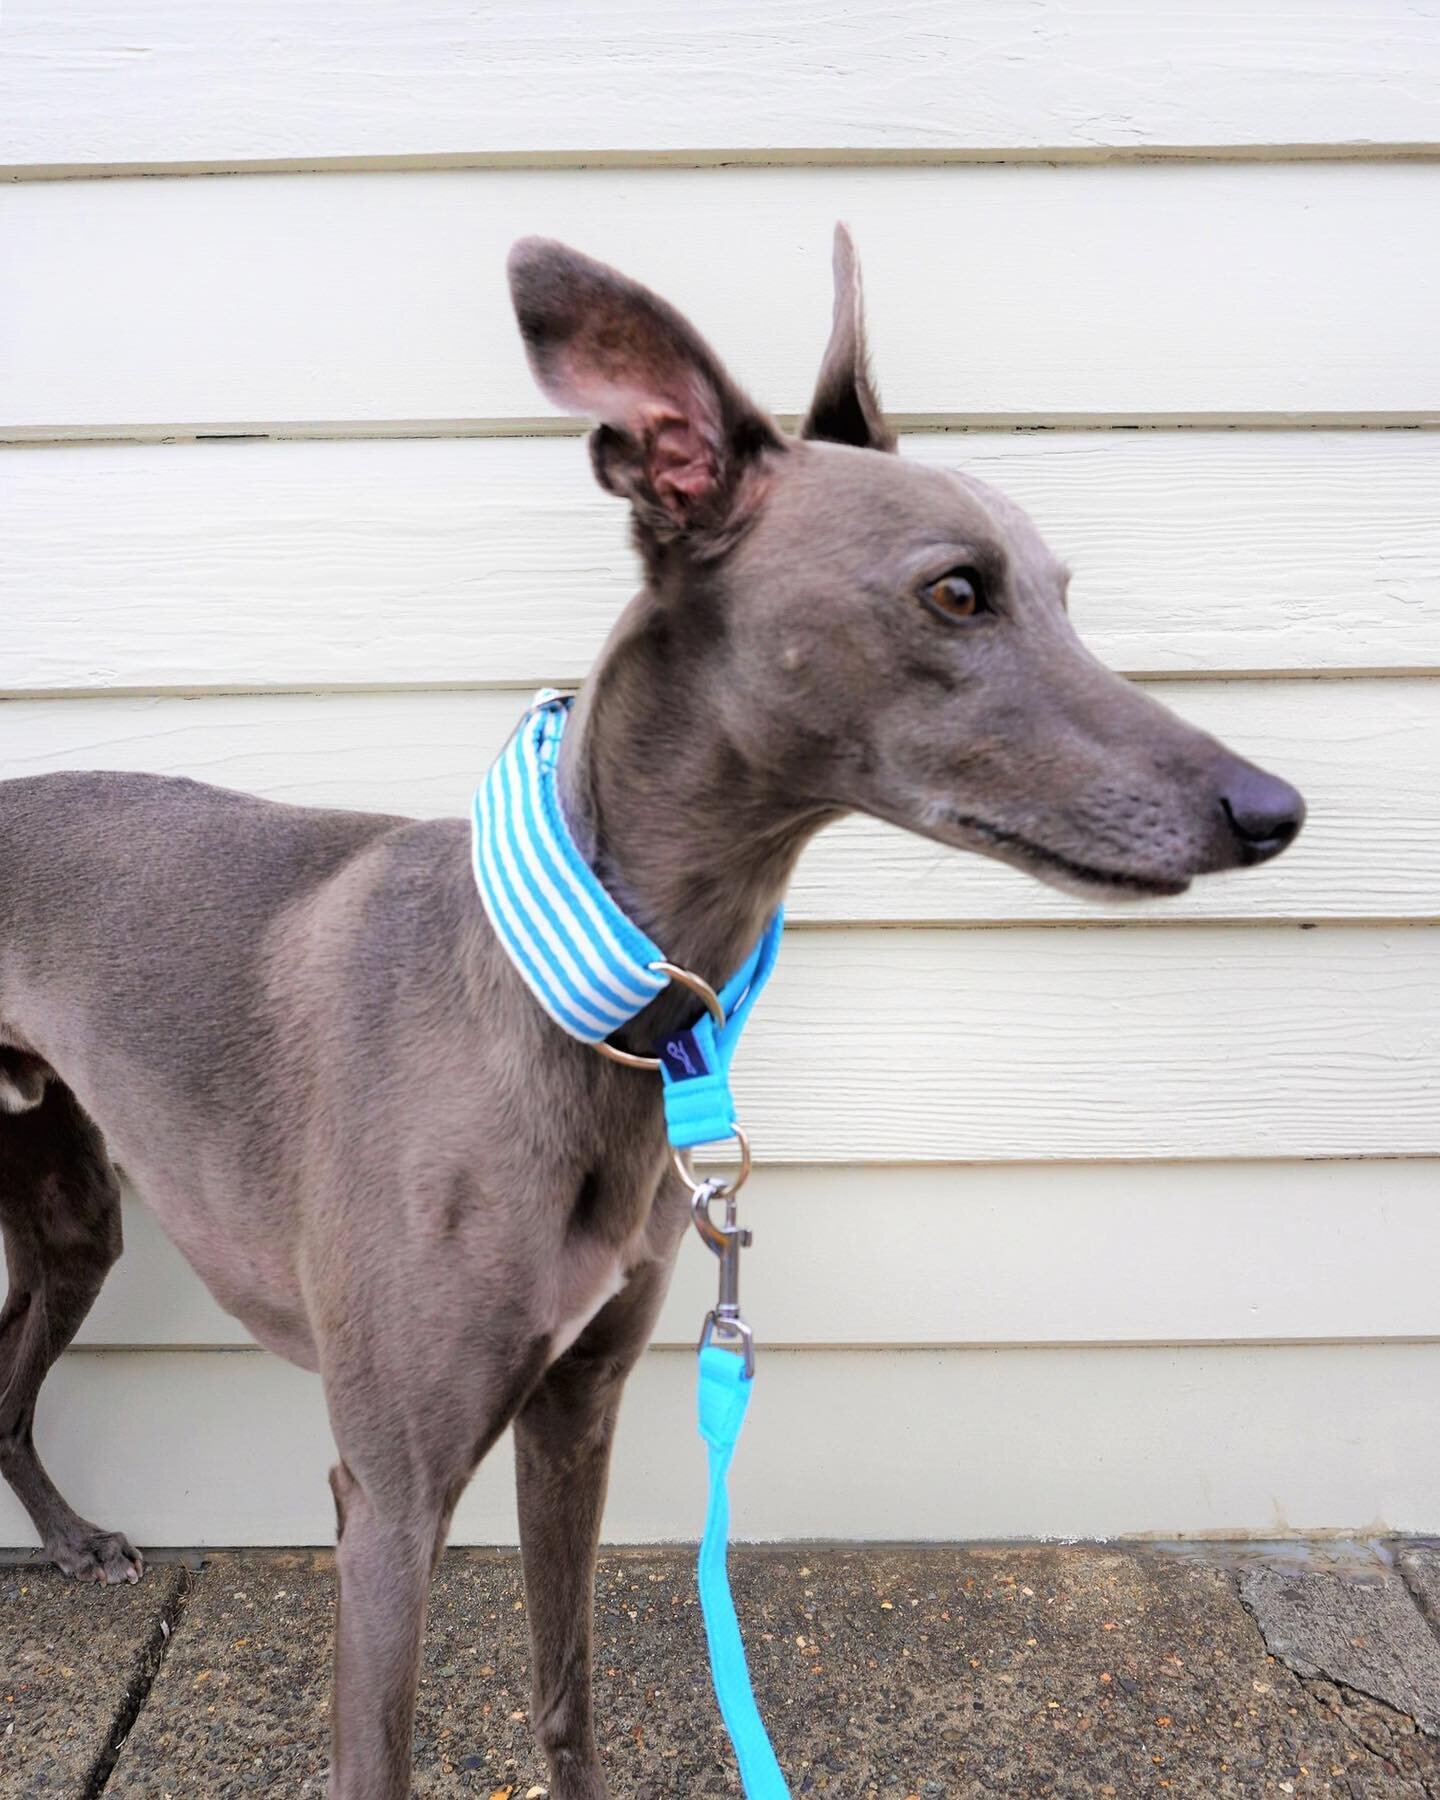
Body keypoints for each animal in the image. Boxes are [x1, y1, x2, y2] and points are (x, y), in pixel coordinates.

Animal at [0, 232, 1303, 1792]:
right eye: (955, 593)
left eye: (1061, 587)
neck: (579, 1002)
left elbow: (566, 1697)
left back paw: (72, 1541)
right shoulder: (387, 1493)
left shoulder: (578, 1408)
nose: (1270, 811)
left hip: (69, 1204)